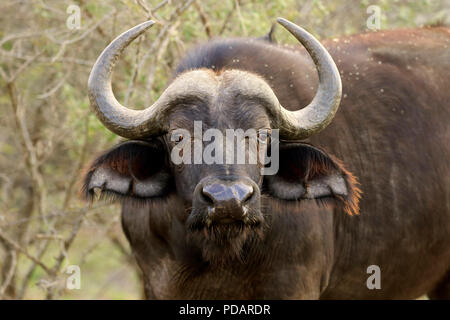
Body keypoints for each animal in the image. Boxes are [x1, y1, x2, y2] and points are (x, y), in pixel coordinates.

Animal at [82, 18, 448, 298]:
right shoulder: (157, 284)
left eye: (261, 136)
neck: (219, 253)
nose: (228, 201)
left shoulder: (295, 285)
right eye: (178, 137)